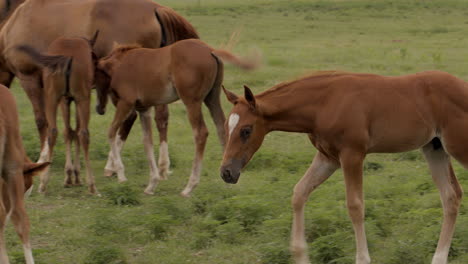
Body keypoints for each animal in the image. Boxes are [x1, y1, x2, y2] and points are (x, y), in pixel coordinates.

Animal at [16, 32, 99, 194]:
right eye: (93, 56)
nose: (94, 83)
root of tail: (68, 55)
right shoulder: (69, 100)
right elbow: (72, 132)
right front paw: (73, 176)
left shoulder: (65, 100)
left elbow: (69, 132)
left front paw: (71, 176)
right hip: (79, 99)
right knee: (81, 133)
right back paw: (90, 185)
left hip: (56, 98)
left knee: (55, 131)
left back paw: (44, 183)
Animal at [98, 38, 260, 196]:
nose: (99, 109)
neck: (120, 63)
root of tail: (210, 49)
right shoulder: (143, 108)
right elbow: (147, 141)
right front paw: (151, 183)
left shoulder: (126, 103)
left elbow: (111, 132)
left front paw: (120, 175)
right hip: (212, 97)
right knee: (222, 128)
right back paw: (227, 182)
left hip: (192, 101)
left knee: (201, 133)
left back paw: (190, 186)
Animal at [220, 70, 468, 264]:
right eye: (226, 126)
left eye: (246, 130)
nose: (226, 173)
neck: (324, 103)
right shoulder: (327, 158)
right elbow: (299, 192)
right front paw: (300, 255)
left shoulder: (352, 155)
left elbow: (355, 206)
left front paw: (363, 259)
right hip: (435, 148)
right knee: (451, 196)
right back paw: (438, 258)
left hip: (458, 147)